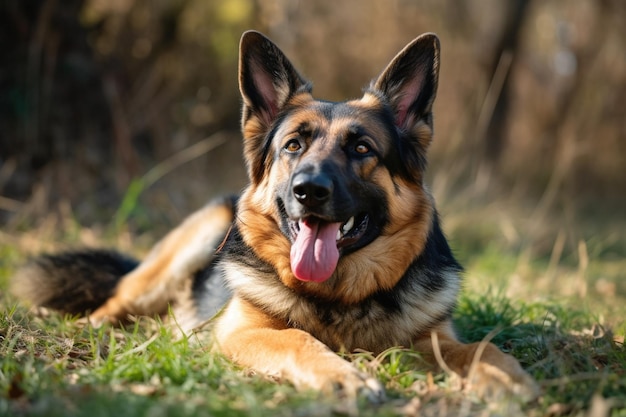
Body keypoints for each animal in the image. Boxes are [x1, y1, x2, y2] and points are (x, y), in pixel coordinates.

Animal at [12, 30, 532, 398]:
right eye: (293, 145)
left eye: (362, 148)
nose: (308, 191)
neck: (338, 297)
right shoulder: (242, 331)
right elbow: (297, 339)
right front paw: (343, 377)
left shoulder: (431, 339)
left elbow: (483, 347)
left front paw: (505, 377)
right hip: (177, 257)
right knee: (112, 304)